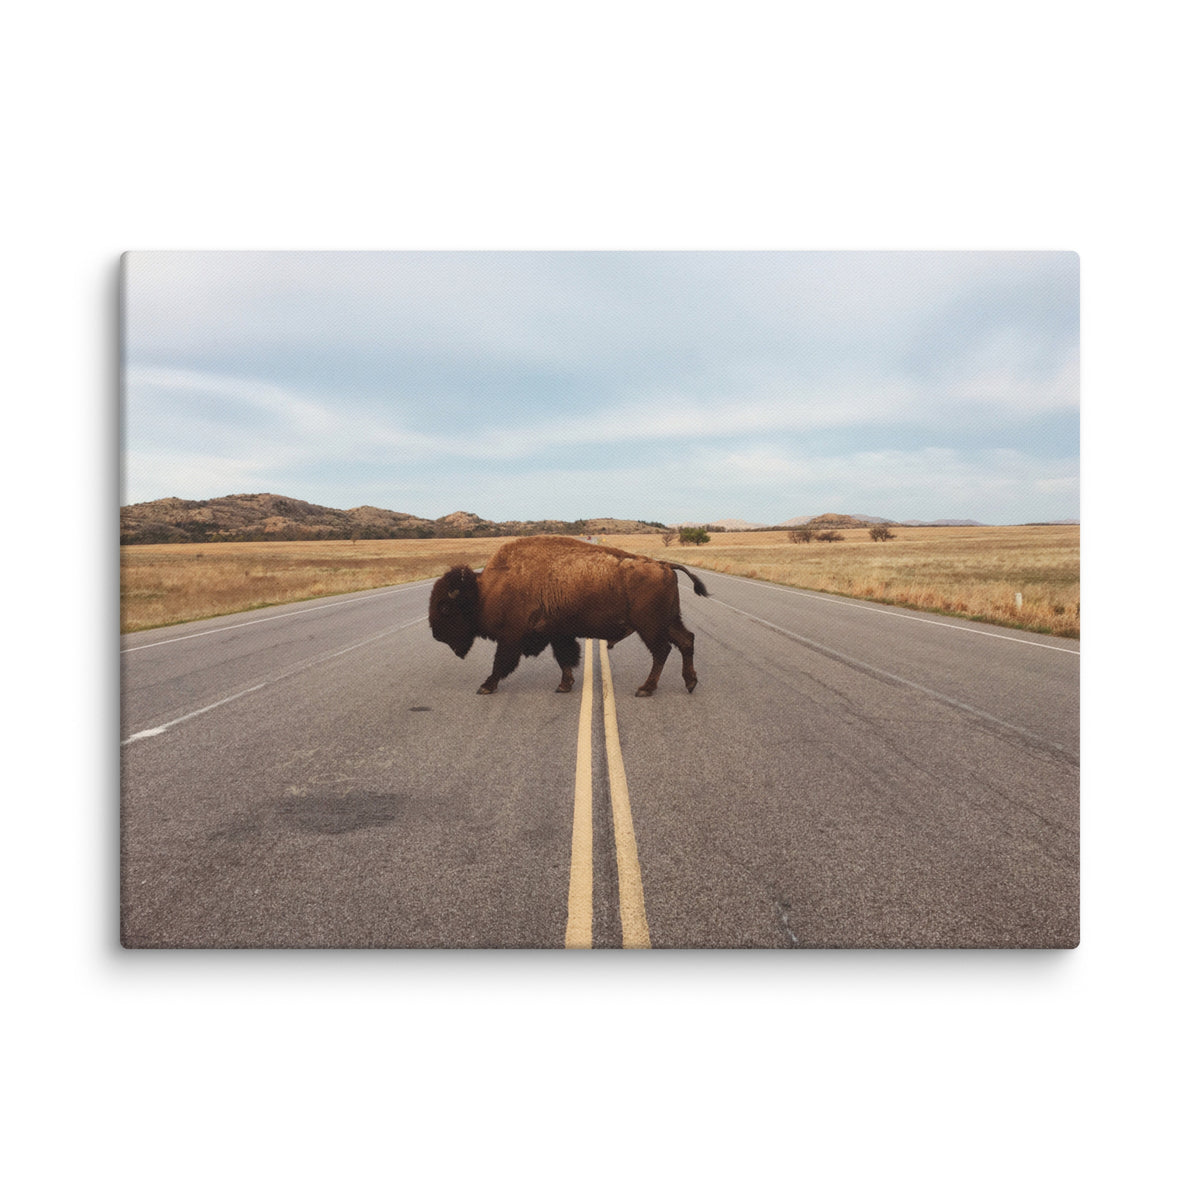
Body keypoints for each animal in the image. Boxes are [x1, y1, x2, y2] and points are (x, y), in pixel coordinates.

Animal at [428, 535, 709, 697]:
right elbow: (564, 659)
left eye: (444, 608)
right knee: (686, 641)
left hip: (650, 626)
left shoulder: (511, 637)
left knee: (662, 651)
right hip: (668, 621)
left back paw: (645, 689)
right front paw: (564, 685)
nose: (436, 635)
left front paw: (485, 686)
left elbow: (501, 663)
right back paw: (690, 683)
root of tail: (664, 565)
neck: (485, 590)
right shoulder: (557, 634)